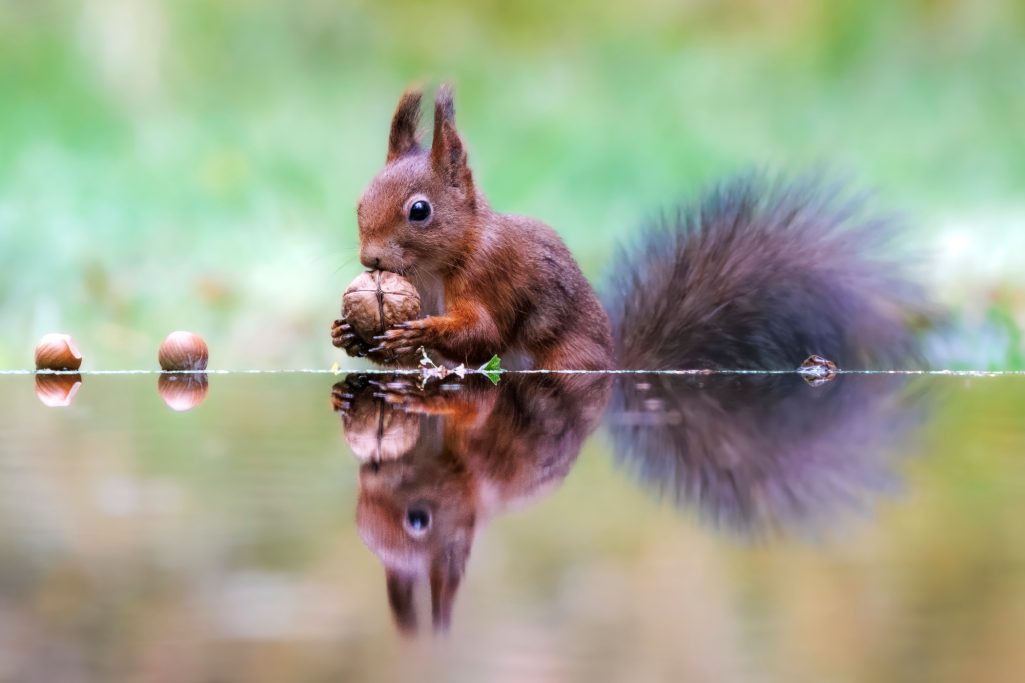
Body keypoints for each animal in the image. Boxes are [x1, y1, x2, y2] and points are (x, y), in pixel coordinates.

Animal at [332, 87, 926, 373]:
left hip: (564, 358)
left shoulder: (493, 276)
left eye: (420, 211)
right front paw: (346, 333)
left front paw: (420, 331)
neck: (439, 266)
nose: (370, 261)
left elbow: (483, 332)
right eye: (360, 200)